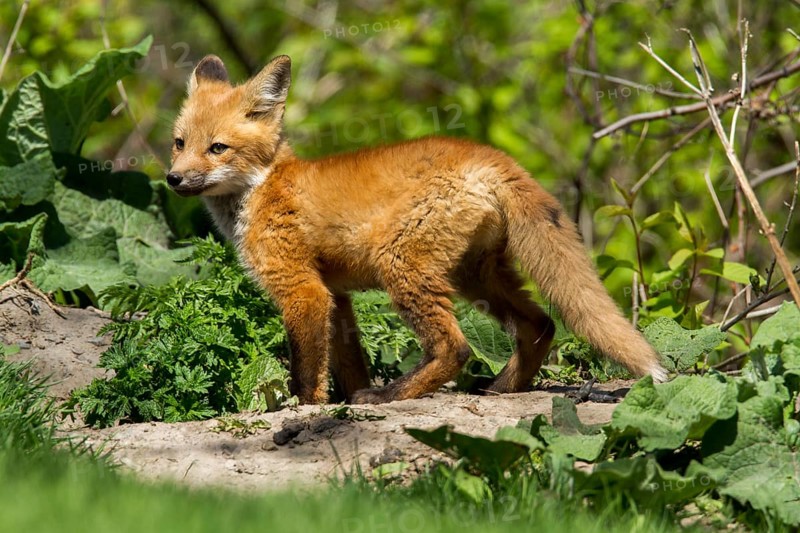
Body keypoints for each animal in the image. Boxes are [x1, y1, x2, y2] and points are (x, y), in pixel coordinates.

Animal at [167, 54, 667, 405]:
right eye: (179, 143)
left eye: (217, 148)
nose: (173, 179)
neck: (263, 185)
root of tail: (491, 157)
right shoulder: (337, 295)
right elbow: (350, 362)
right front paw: (345, 406)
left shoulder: (302, 289)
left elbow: (308, 375)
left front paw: (307, 410)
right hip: (476, 276)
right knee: (540, 324)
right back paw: (501, 389)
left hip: (403, 268)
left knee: (456, 349)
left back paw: (392, 395)